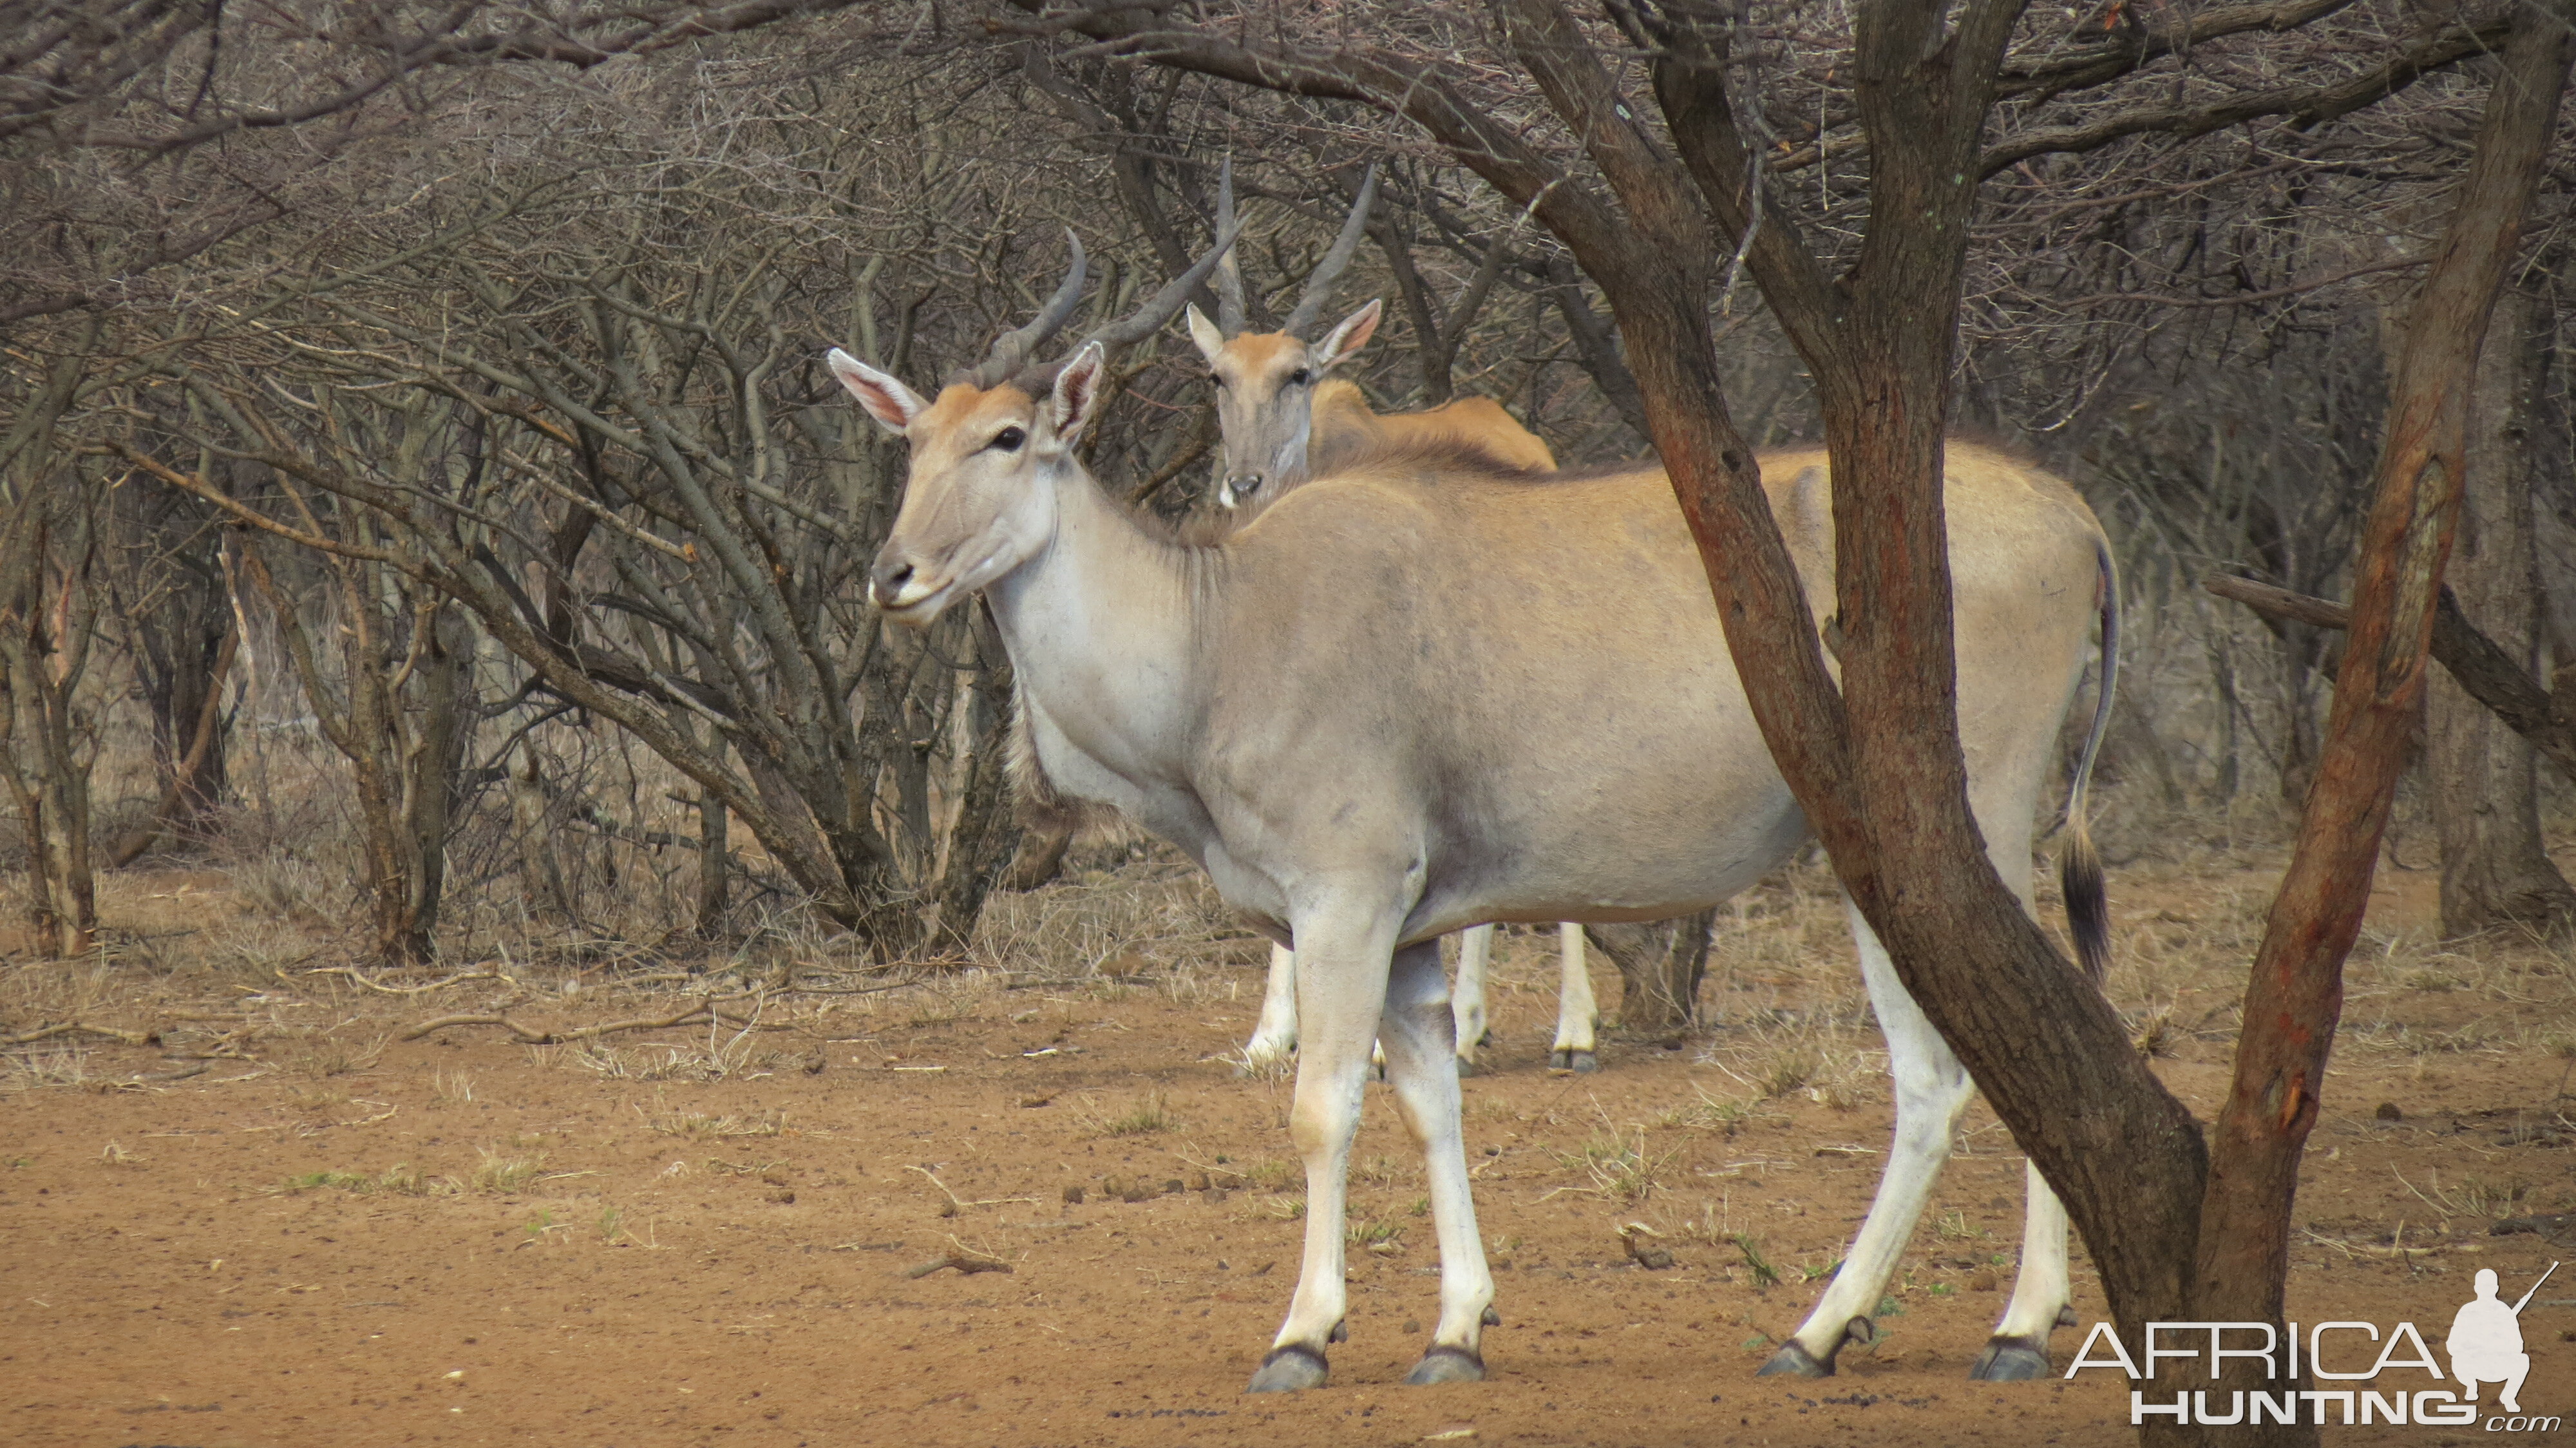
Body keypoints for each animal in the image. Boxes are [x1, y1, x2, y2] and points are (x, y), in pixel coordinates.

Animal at [824, 273, 2112, 1402]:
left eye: (1007, 437)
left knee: (1991, 1049)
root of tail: (2077, 517)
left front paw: (1304, 1335)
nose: (894, 575)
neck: (1216, 628)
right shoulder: (1401, 934)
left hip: (1952, 835)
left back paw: (1968, 1324)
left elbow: (1322, 1106)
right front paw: (1455, 1331)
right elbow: (1429, 1101)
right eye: (911, 441)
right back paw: (1860, 1328)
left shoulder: (1345, 901)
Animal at [1185, 164, 1607, 1077]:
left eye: (1298, 374)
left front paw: (1367, 1042)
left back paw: (1569, 1031)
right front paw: (1271, 1035)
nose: (1241, 482)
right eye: (1218, 377)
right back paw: (1474, 1023)